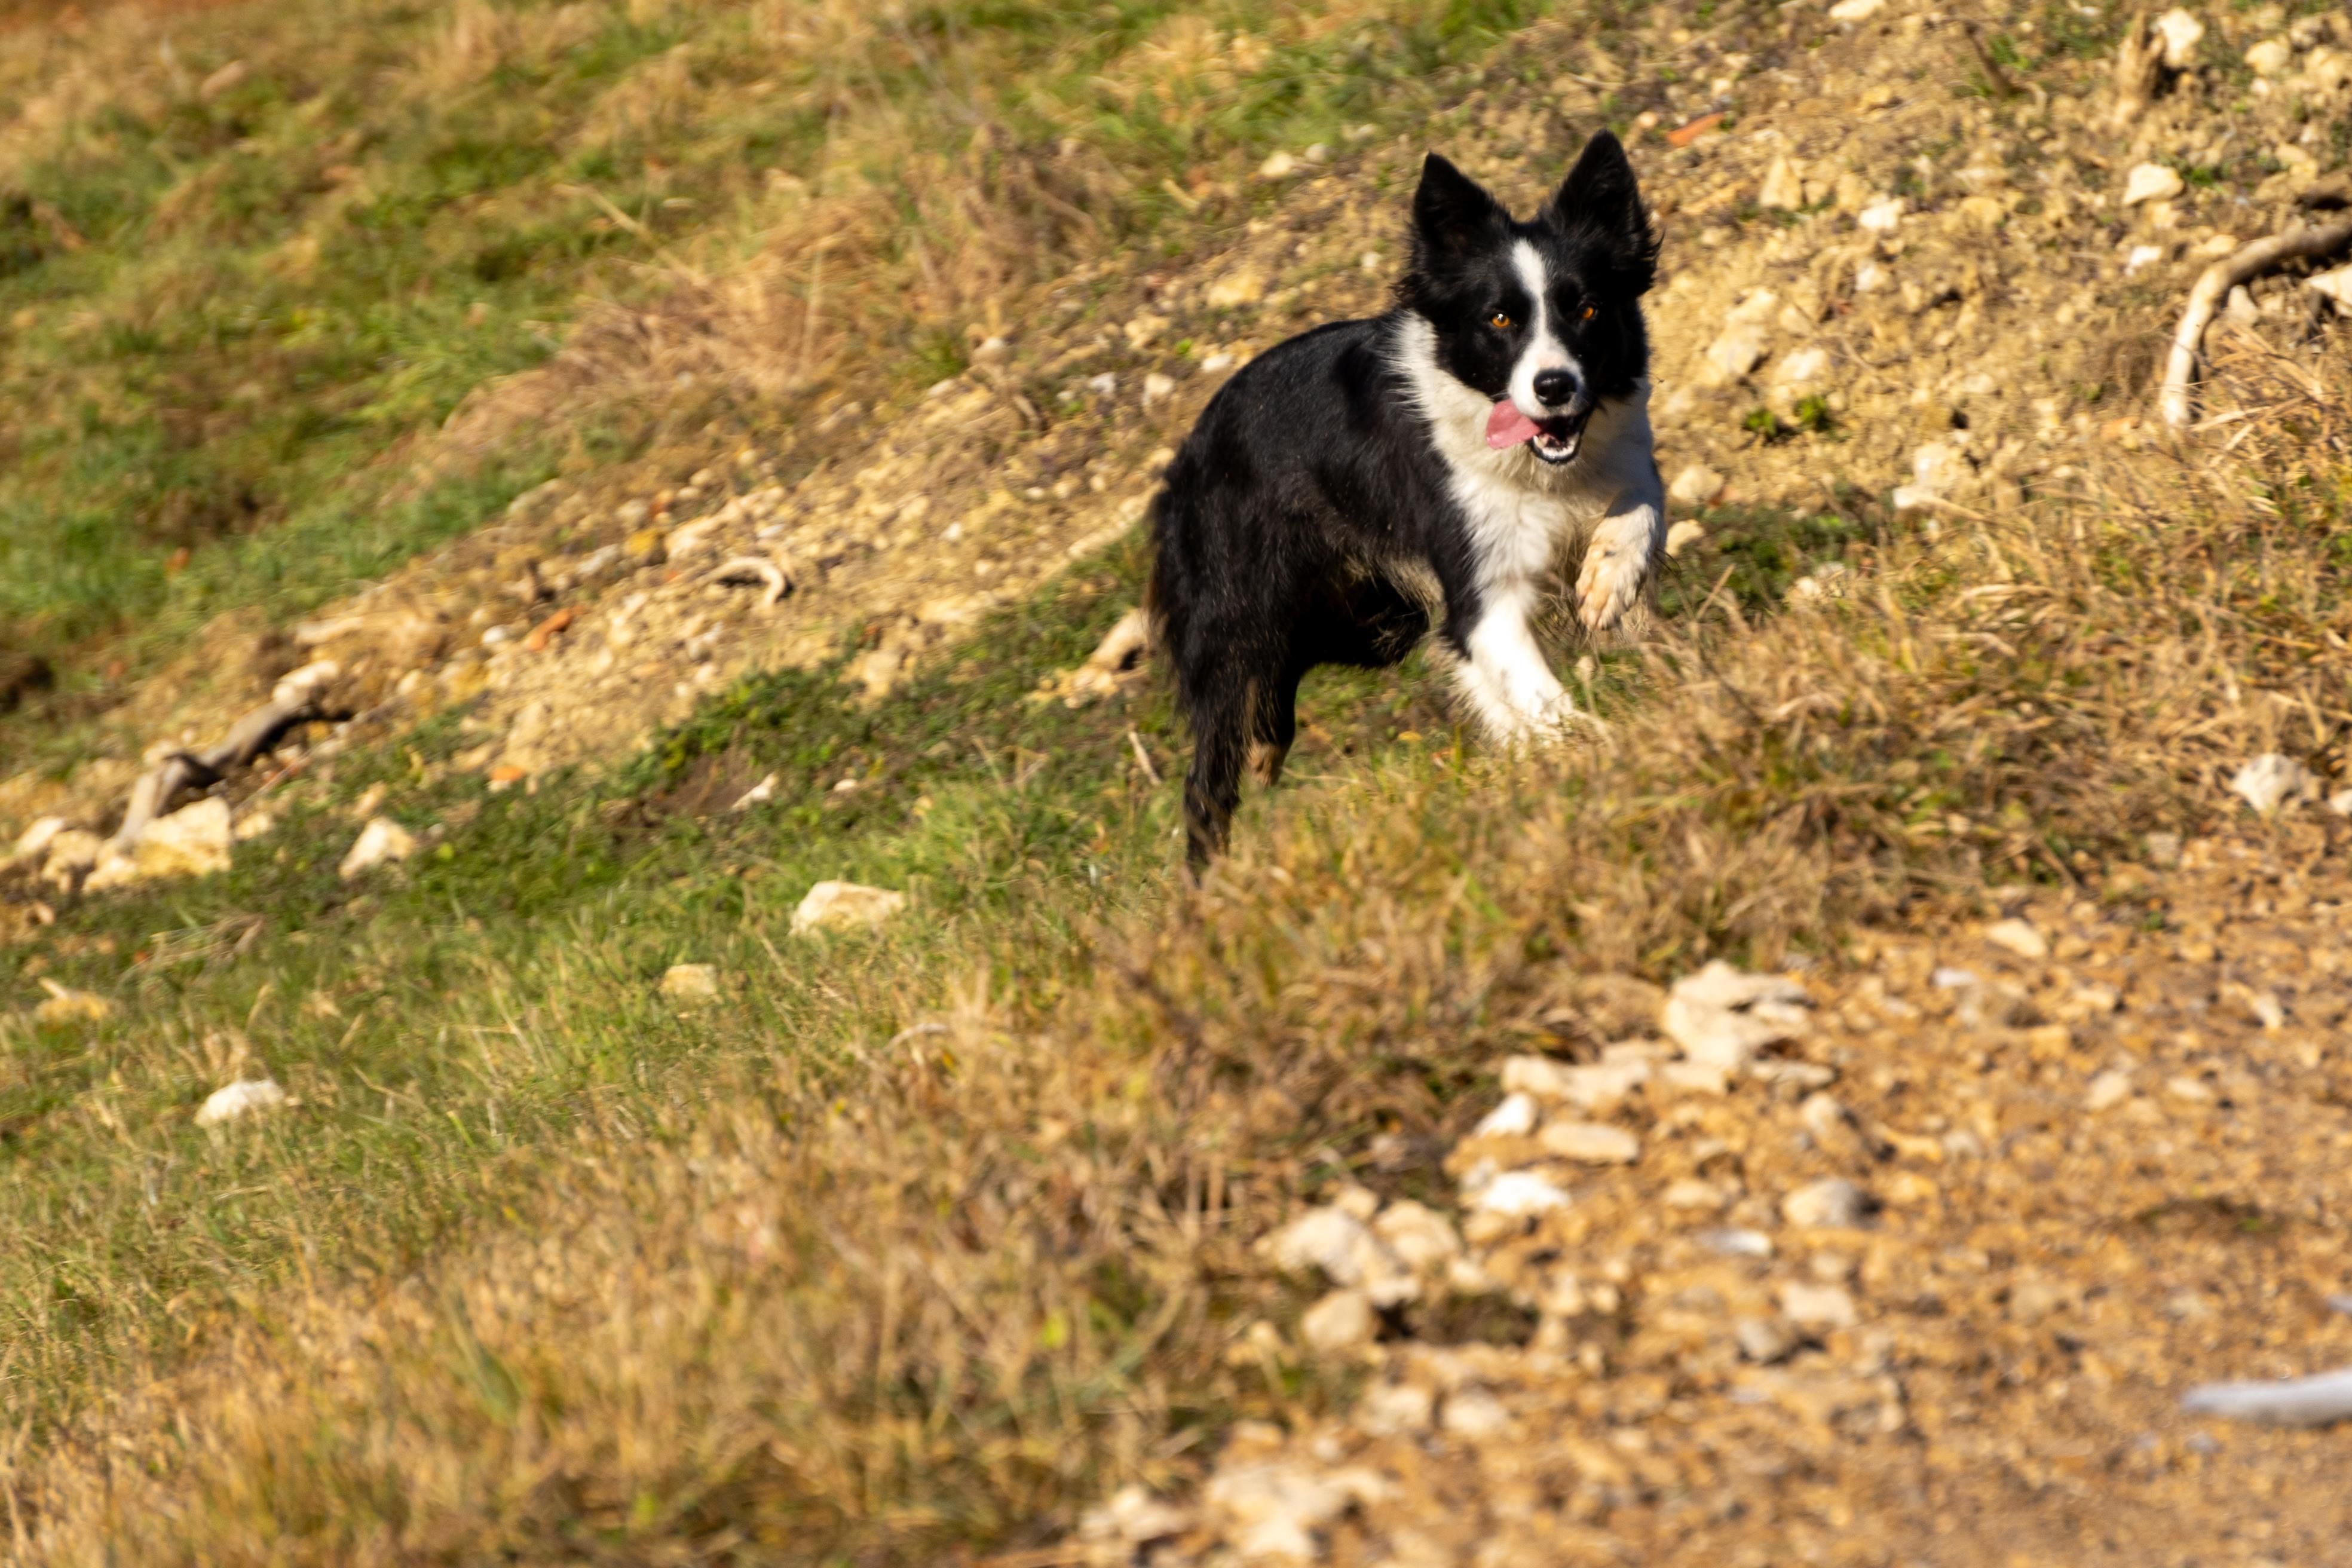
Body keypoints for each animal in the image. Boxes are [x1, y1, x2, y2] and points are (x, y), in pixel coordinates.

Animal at [1147, 129, 1664, 865]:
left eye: (1588, 308)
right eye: (1499, 318)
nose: (1556, 386)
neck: (1542, 469)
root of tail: (1186, 458)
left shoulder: (1622, 453)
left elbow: (1645, 502)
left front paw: (1608, 578)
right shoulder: (1481, 592)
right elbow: (1539, 690)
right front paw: (1597, 754)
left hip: (1375, 618)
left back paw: (1268, 744)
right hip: (1239, 623)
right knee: (1206, 780)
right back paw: (1212, 879)